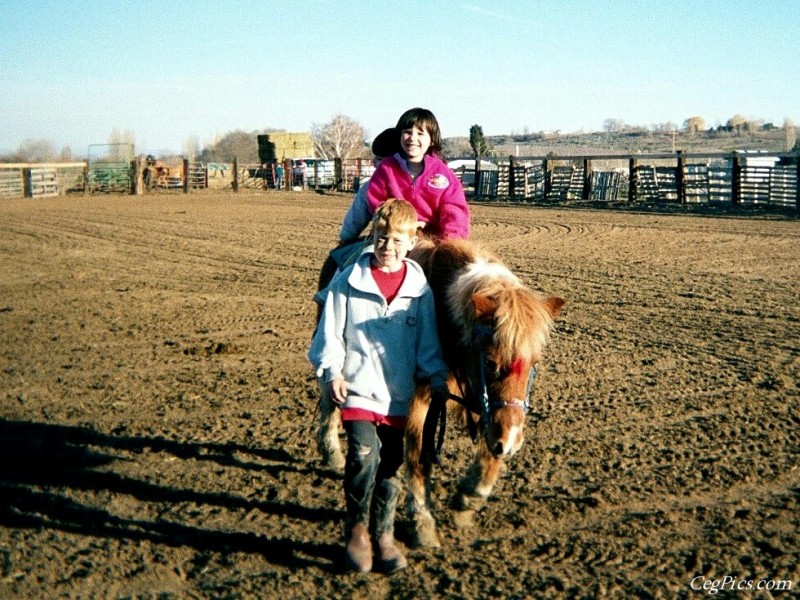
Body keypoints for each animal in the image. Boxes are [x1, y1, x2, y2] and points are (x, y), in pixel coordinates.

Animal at [312, 237, 564, 548]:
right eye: (490, 361)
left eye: (534, 362)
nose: (513, 441)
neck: (447, 324)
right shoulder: (421, 405)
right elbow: (420, 459)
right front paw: (423, 524)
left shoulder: (485, 404)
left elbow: (492, 453)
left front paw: (467, 499)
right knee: (330, 397)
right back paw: (332, 451)